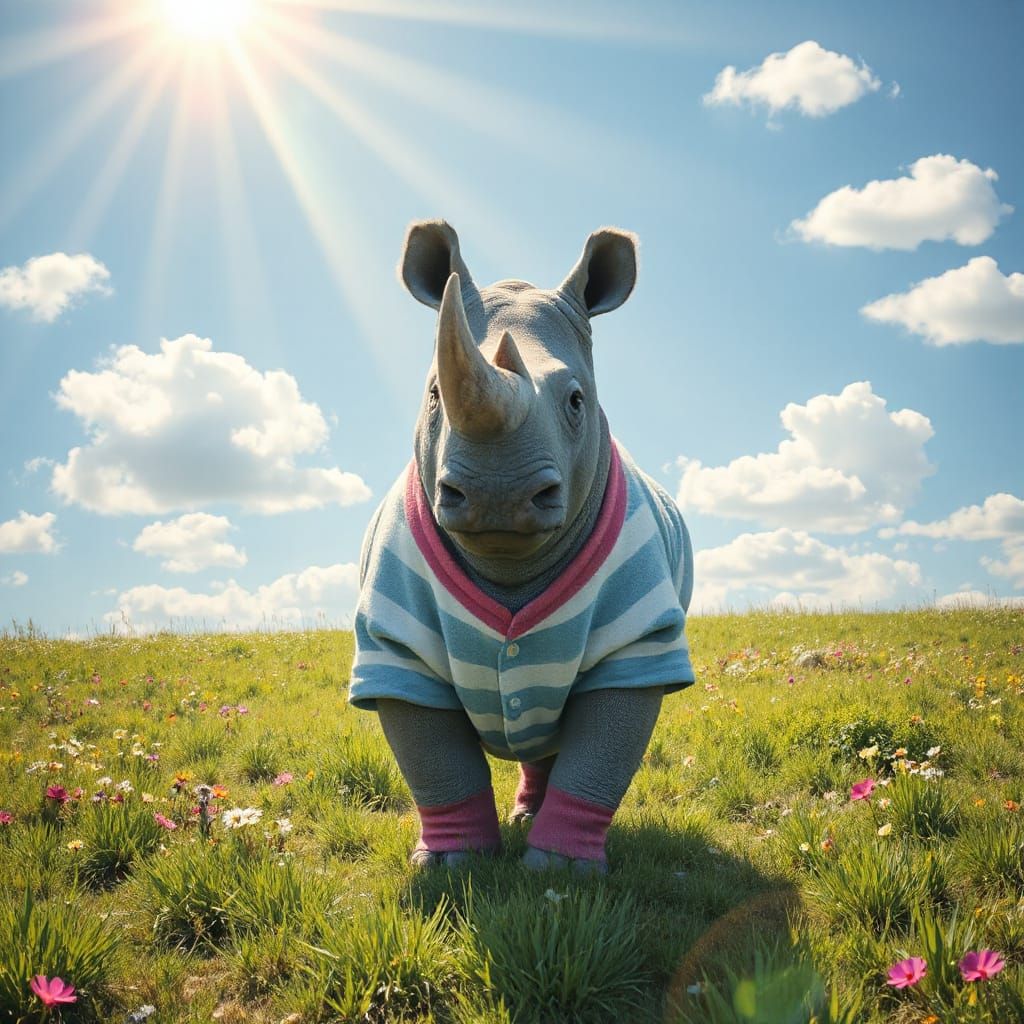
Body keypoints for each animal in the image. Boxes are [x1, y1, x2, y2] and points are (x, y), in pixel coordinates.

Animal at [349, 220, 695, 874]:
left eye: (577, 401)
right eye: (434, 395)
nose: (498, 496)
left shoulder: (640, 638)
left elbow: (601, 758)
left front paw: (562, 869)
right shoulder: (397, 643)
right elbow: (434, 761)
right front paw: (451, 864)